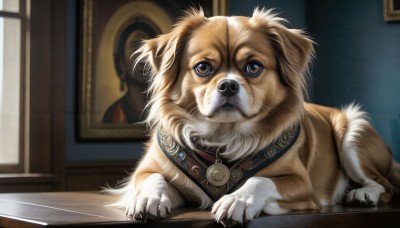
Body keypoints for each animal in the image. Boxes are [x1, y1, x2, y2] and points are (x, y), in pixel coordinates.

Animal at [107, 8, 400, 225]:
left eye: (253, 67)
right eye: (203, 68)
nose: (228, 85)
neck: (223, 136)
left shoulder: (302, 184)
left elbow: (260, 180)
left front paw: (237, 200)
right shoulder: (145, 170)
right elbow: (154, 179)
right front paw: (150, 198)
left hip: (352, 134)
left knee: (384, 185)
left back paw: (362, 194)